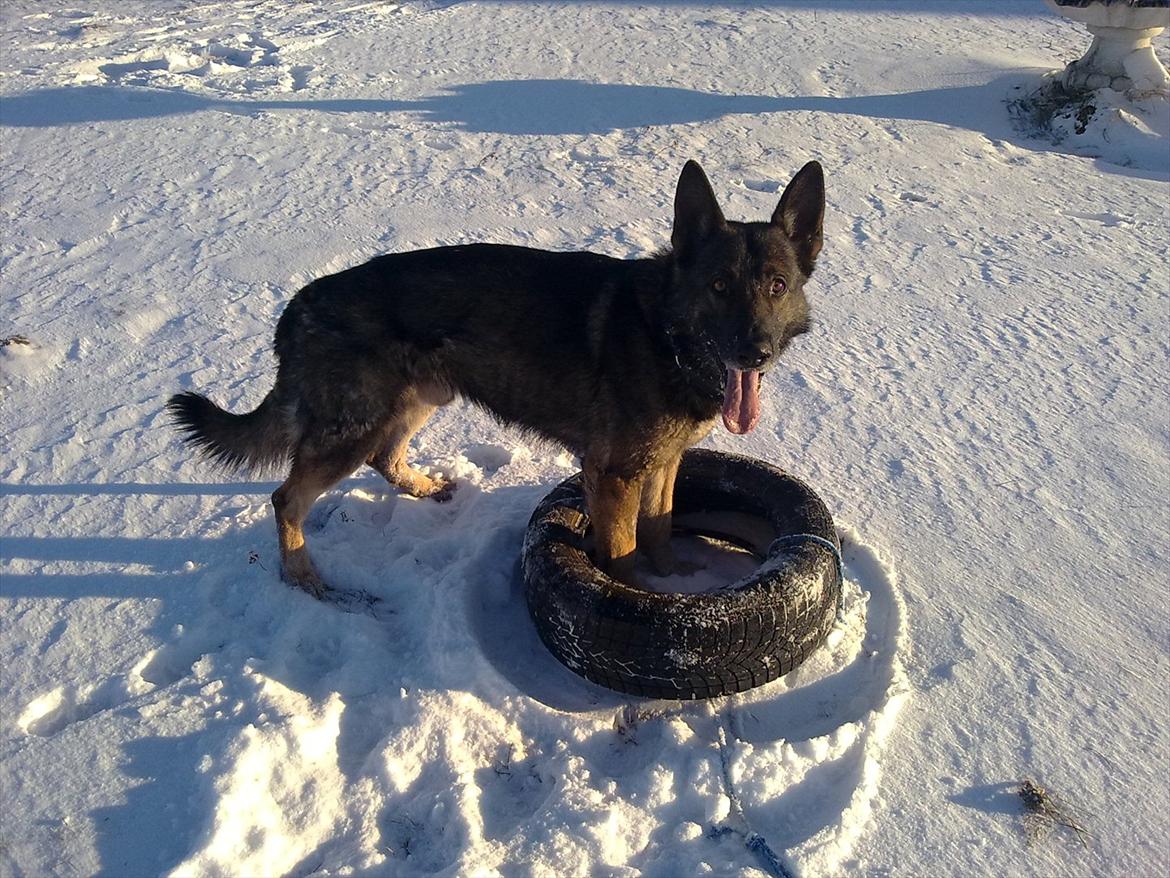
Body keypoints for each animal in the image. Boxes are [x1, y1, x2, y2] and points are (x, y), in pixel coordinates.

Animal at [169, 160, 828, 594]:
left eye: (776, 285)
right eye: (718, 286)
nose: (754, 352)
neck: (664, 332)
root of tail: (297, 306)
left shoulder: (662, 465)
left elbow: (661, 529)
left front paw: (677, 579)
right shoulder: (613, 476)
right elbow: (622, 555)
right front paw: (639, 598)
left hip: (419, 399)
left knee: (384, 457)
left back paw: (422, 487)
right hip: (351, 430)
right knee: (287, 499)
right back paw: (305, 579)